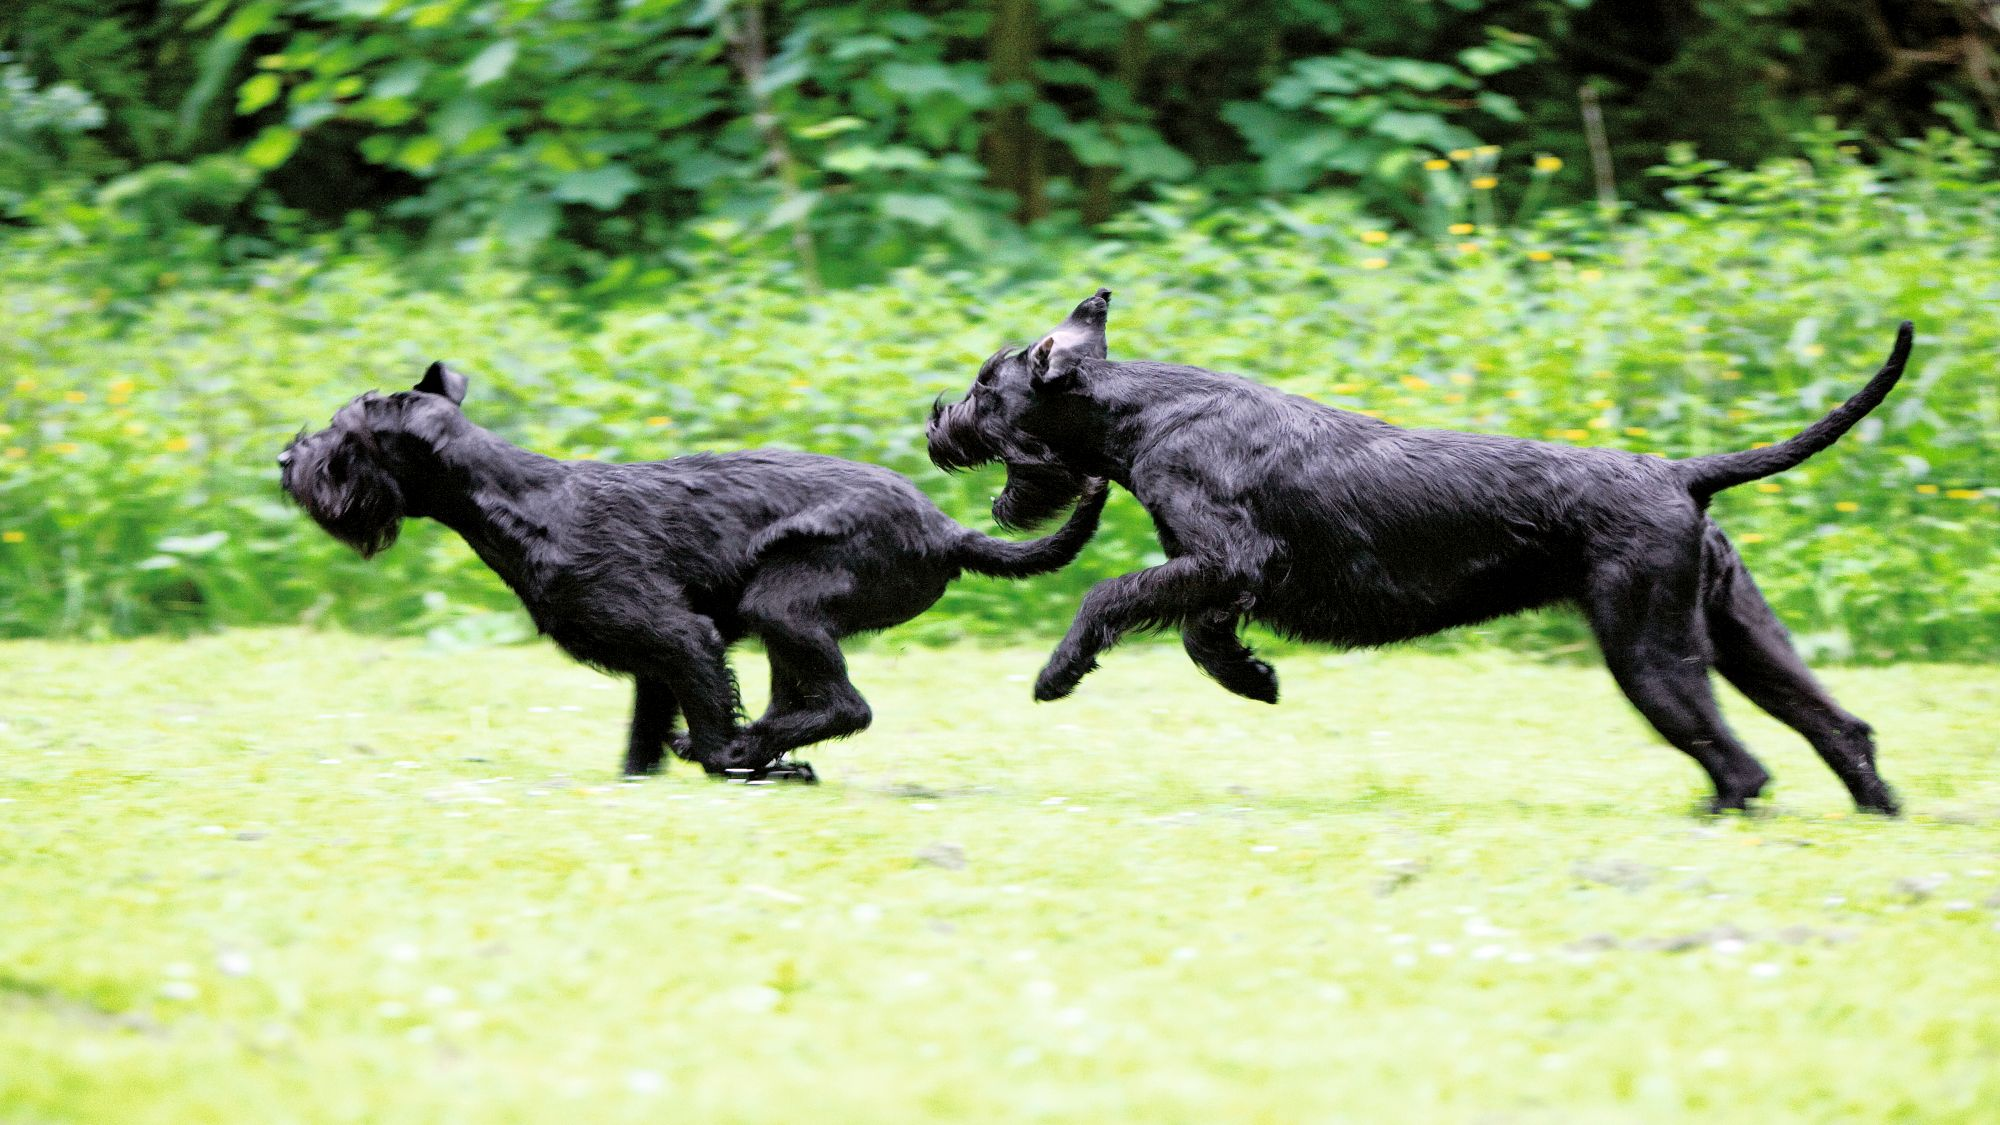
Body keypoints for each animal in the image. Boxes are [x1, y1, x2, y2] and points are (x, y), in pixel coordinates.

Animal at [278, 360, 1112, 780]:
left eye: (344, 435)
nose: (288, 459)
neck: (524, 505)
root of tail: (944, 530)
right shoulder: (656, 666)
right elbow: (643, 741)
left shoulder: (683, 639)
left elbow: (708, 726)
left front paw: (724, 759)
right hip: (786, 632)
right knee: (805, 703)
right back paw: (772, 749)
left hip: (786, 605)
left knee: (847, 706)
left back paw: (759, 754)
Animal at [928, 288, 1912, 808]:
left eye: (986, 384)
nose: (937, 423)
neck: (1141, 415)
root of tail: (1680, 475)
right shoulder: (1214, 576)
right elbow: (1203, 635)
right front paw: (1256, 678)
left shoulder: (1225, 559)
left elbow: (1111, 596)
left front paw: (1058, 671)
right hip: (1739, 633)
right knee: (1837, 725)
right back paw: (1876, 810)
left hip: (1649, 649)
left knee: (1740, 762)